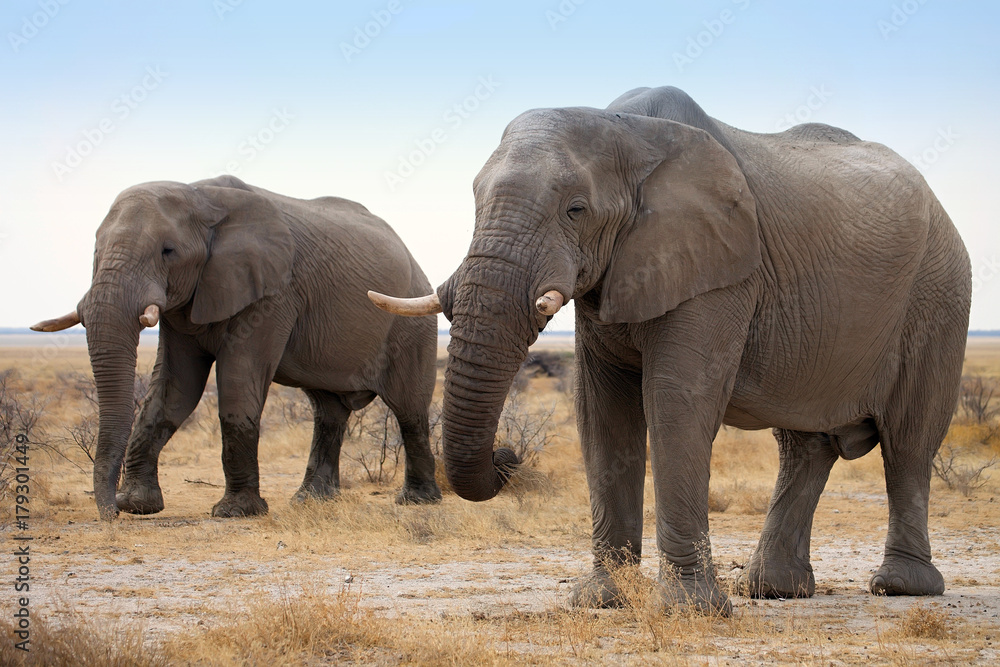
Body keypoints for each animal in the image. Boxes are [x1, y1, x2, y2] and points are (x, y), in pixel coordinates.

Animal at [34, 175, 442, 520]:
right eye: (96, 251)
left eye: (168, 251)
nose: (110, 515)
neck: (199, 196)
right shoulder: (186, 303)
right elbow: (173, 391)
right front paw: (137, 505)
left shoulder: (275, 292)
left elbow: (236, 382)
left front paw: (236, 512)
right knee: (328, 413)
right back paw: (310, 501)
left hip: (411, 324)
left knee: (408, 410)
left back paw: (418, 501)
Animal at [372, 87, 972, 616]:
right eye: (475, 202)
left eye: (575, 209)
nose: (507, 455)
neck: (626, 128)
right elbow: (602, 414)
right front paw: (602, 600)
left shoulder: (720, 269)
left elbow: (676, 404)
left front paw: (690, 609)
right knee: (804, 446)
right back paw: (776, 590)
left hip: (939, 294)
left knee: (909, 441)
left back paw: (900, 587)